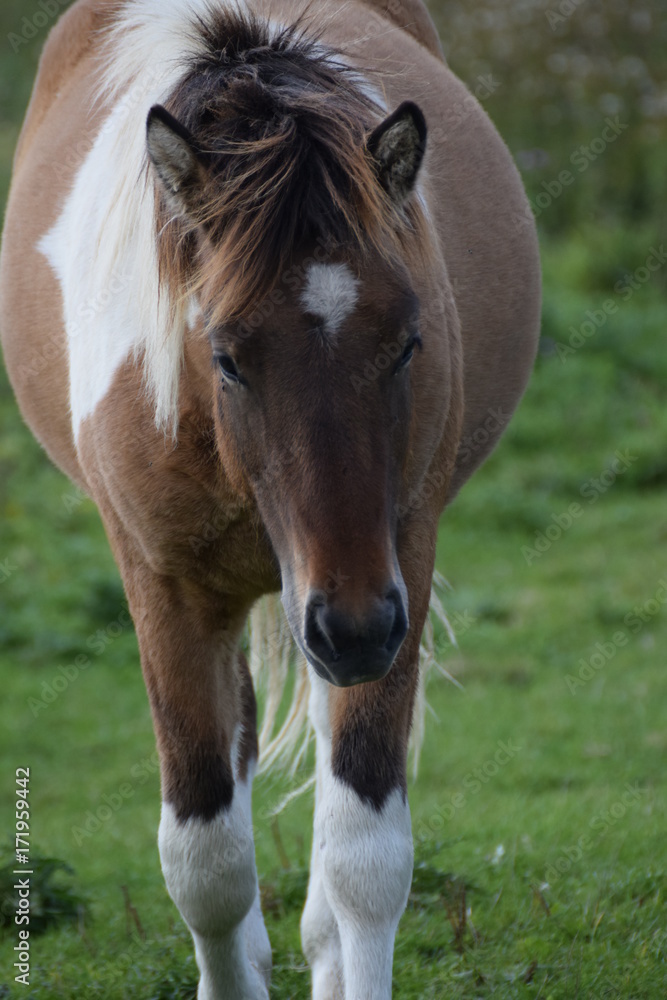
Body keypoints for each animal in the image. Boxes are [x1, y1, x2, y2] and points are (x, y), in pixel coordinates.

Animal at [0, 1, 544, 992]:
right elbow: (205, 863)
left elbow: (365, 857)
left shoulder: (394, 564)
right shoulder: (168, 592)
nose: (354, 627)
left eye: (408, 342)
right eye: (224, 357)